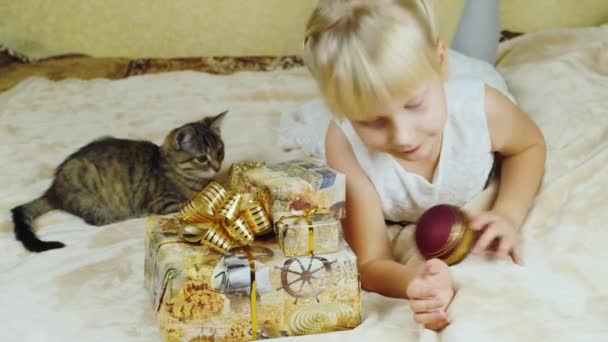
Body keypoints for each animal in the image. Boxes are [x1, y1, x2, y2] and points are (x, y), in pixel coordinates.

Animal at [13, 111, 227, 252]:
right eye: (202, 158)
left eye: (219, 152)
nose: (217, 167)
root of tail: (53, 190)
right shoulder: (163, 203)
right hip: (86, 185)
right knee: (96, 219)